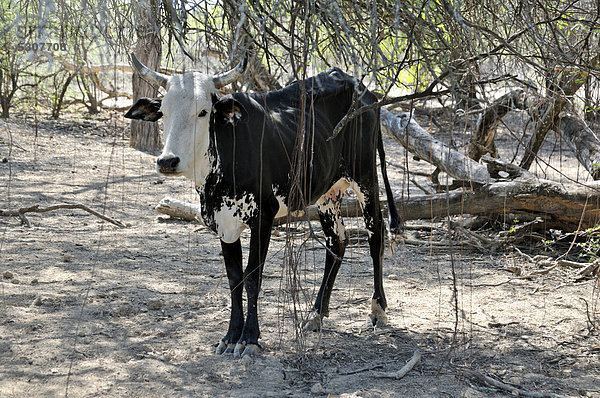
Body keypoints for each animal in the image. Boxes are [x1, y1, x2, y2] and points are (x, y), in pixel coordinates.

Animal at [124, 54, 400, 360]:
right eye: (164, 112)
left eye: (203, 112)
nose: (167, 161)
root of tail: (358, 87)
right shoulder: (225, 223)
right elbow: (235, 279)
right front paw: (230, 336)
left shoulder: (262, 218)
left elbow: (253, 277)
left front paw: (250, 339)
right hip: (327, 192)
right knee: (337, 241)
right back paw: (316, 314)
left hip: (365, 175)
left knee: (376, 235)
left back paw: (377, 310)